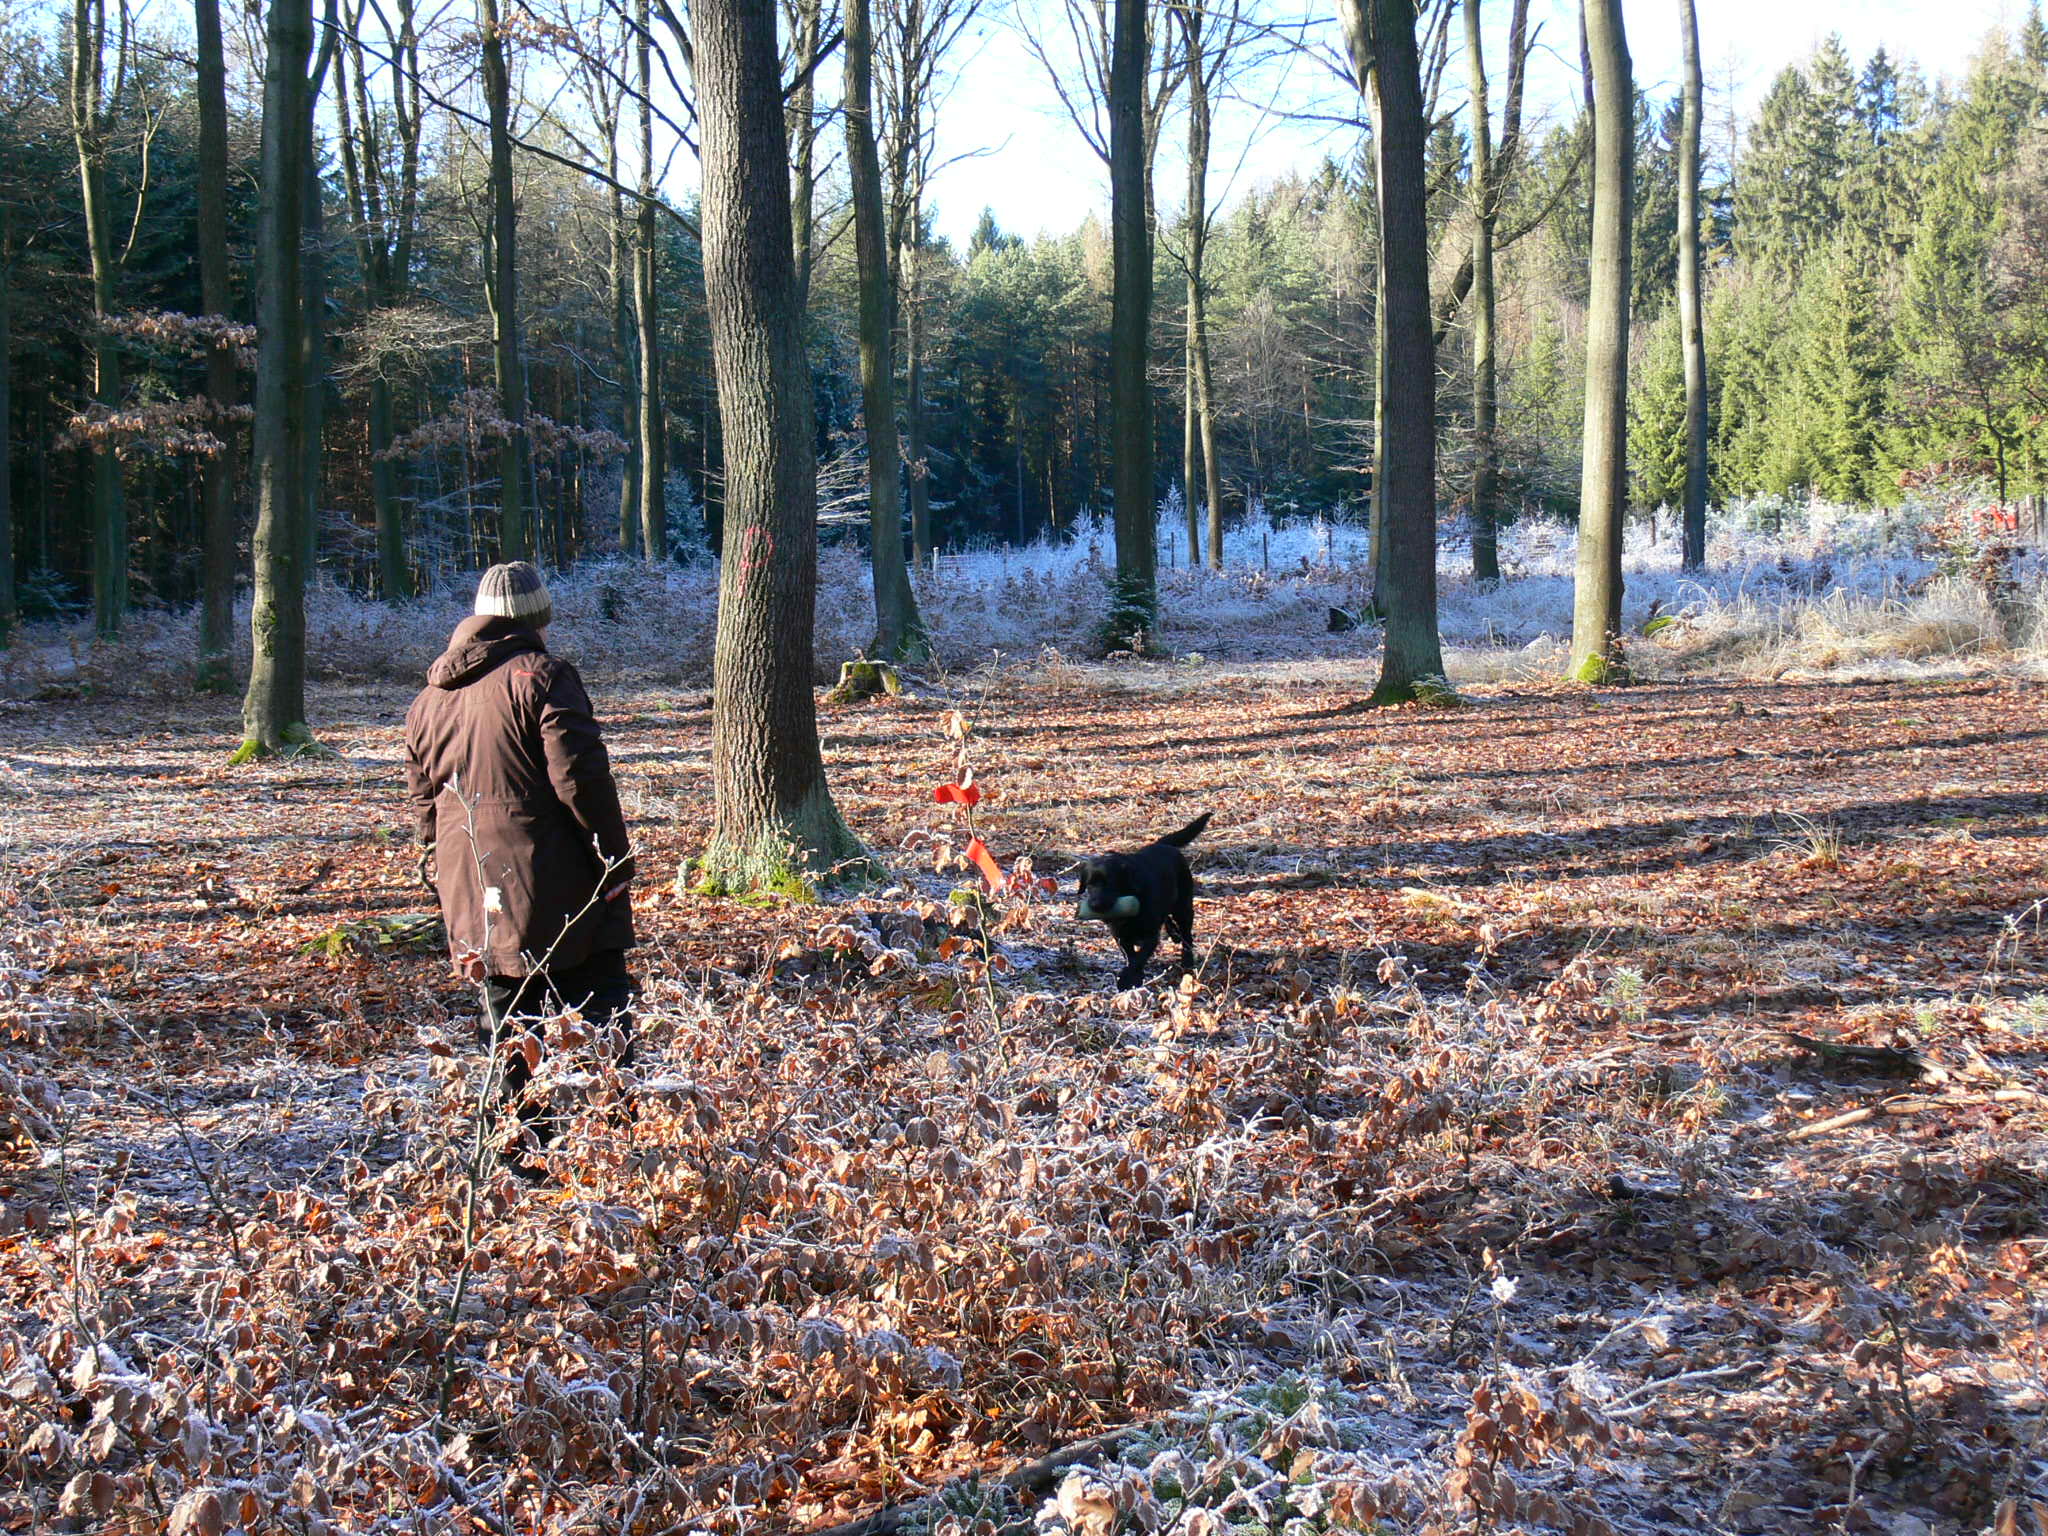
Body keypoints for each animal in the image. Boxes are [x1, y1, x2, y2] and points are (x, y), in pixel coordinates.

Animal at [1081, 811, 1204, 991]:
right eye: (1089, 884)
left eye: (1110, 883)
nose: (1095, 905)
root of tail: (1163, 844)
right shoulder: (1120, 935)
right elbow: (1131, 956)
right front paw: (1135, 978)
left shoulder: (1150, 935)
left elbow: (1139, 958)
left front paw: (1126, 979)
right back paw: (1174, 934)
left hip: (1183, 906)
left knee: (1187, 934)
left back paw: (1187, 959)